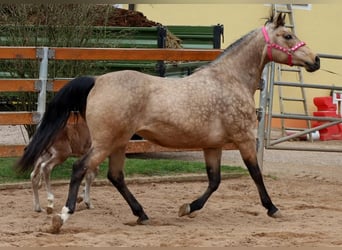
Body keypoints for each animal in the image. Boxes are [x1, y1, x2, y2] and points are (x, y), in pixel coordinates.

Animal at [14, 12, 320, 233]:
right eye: (288, 35)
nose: (315, 60)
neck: (230, 80)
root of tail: (97, 80)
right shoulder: (244, 138)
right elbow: (255, 175)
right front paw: (272, 208)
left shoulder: (213, 146)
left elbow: (215, 181)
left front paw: (188, 208)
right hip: (104, 143)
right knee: (80, 169)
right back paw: (62, 216)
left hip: (119, 143)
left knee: (115, 176)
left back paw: (141, 214)